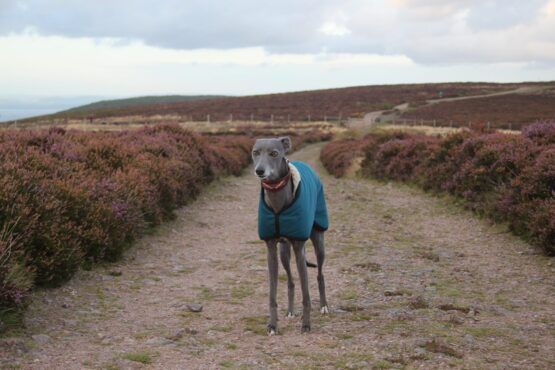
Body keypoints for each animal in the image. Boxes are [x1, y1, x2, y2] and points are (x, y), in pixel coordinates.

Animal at [253, 137, 330, 336]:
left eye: (274, 153)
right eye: (255, 152)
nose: (259, 171)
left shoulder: (299, 249)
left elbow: (306, 295)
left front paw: (306, 324)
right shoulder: (271, 250)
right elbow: (273, 294)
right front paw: (273, 325)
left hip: (318, 242)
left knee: (320, 274)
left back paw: (324, 306)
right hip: (283, 252)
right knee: (290, 281)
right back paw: (290, 310)